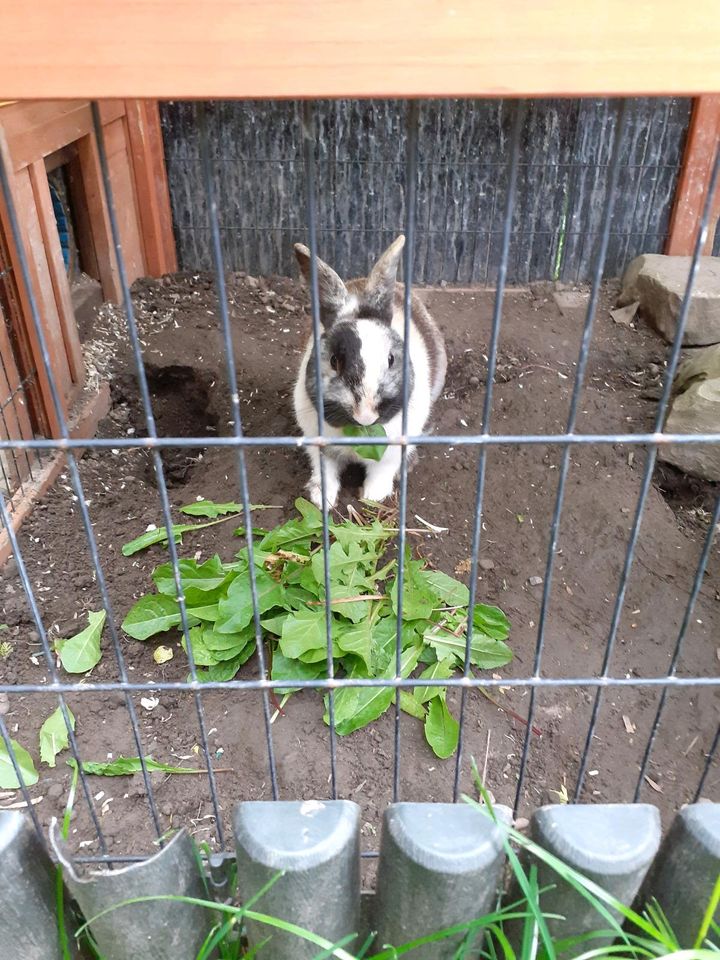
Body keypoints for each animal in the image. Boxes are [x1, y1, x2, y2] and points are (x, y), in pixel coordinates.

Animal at [292, 234, 444, 510]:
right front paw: (322, 500)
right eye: (334, 361)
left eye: (391, 359)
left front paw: (373, 496)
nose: (365, 415)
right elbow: (325, 470)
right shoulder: (318, 444)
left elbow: (381, 471)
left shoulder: (392, 449)